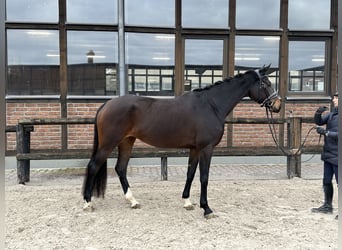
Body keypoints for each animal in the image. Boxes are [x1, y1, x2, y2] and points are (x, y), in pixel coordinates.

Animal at [82, 64, 280, 217]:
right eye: (266, 83)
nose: (277, 105)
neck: (211, 105)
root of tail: (106, 104)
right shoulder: (207, 148)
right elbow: (204, 177)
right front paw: (206, 209)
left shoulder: (195, 149)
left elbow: (190, 174)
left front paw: (187, 202)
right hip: (109, 144)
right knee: (93, 166)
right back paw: (87, 203)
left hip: (127, 141)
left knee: (120, 168)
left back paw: (133, 201)